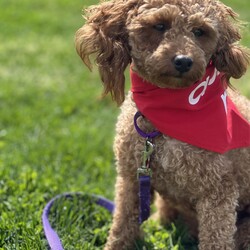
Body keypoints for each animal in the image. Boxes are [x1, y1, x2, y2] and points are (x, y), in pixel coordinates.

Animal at [75, 0, 250, 249]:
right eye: (159, 25)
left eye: (199, 31)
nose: (184, 61)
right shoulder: (131, 179)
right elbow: (122, 225)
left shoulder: (218, 191)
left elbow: (216, 238)